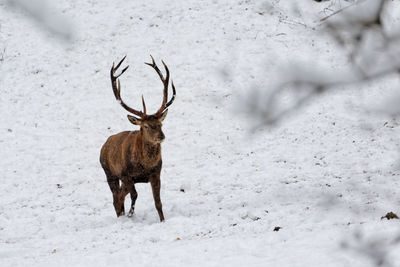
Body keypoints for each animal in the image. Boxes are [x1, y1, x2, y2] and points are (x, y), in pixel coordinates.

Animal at [99, 55, 176, 222]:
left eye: (160, 123)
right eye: (145, 126)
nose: (161, 136)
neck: (144, 166)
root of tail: (104, 145)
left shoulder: (156, 173)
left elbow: (158, 202)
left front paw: (162, 220)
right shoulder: (125, 174)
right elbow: (132, 195)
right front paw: (129, 213)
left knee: (120, 196)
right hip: (109, 173)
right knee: (116, 197)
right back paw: (122, 215)